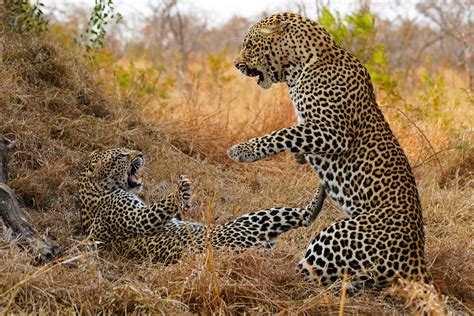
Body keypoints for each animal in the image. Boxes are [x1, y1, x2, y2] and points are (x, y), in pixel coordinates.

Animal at [78, 148, 322, 264]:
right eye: (121, 155)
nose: (140, 154)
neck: (94, 190)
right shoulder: (134, 219)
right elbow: (156, 210)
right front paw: (181, 190)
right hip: (250, 221)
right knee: (306, 215)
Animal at [228, 12, 432, 288]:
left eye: (249, 45)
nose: (237, 65)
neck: (299, 68)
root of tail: (417, 260)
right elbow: (294, 136)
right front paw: (299, 156)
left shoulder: (333, 132)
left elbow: (283, 134)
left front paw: (244, 150)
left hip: (336, 235)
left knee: (305, 276)